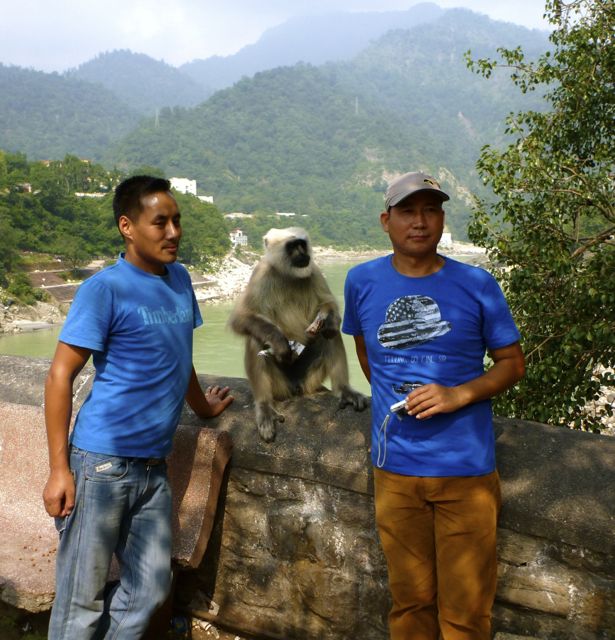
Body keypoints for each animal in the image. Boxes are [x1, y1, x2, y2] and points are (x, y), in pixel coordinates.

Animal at [229, 227, 369, 442]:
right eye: (292, 247)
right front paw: (280, 342)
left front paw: (327, 318)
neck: (288, 275)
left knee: (330, 335)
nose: (303, 254)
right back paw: (264, 406)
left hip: (310, 377)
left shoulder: (314, 270)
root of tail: (295, 387)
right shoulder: (261, 272)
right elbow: (241, 318)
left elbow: (328, 304)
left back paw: (344, 390)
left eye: (302, 244)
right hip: (280, 386)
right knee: (255, 339)